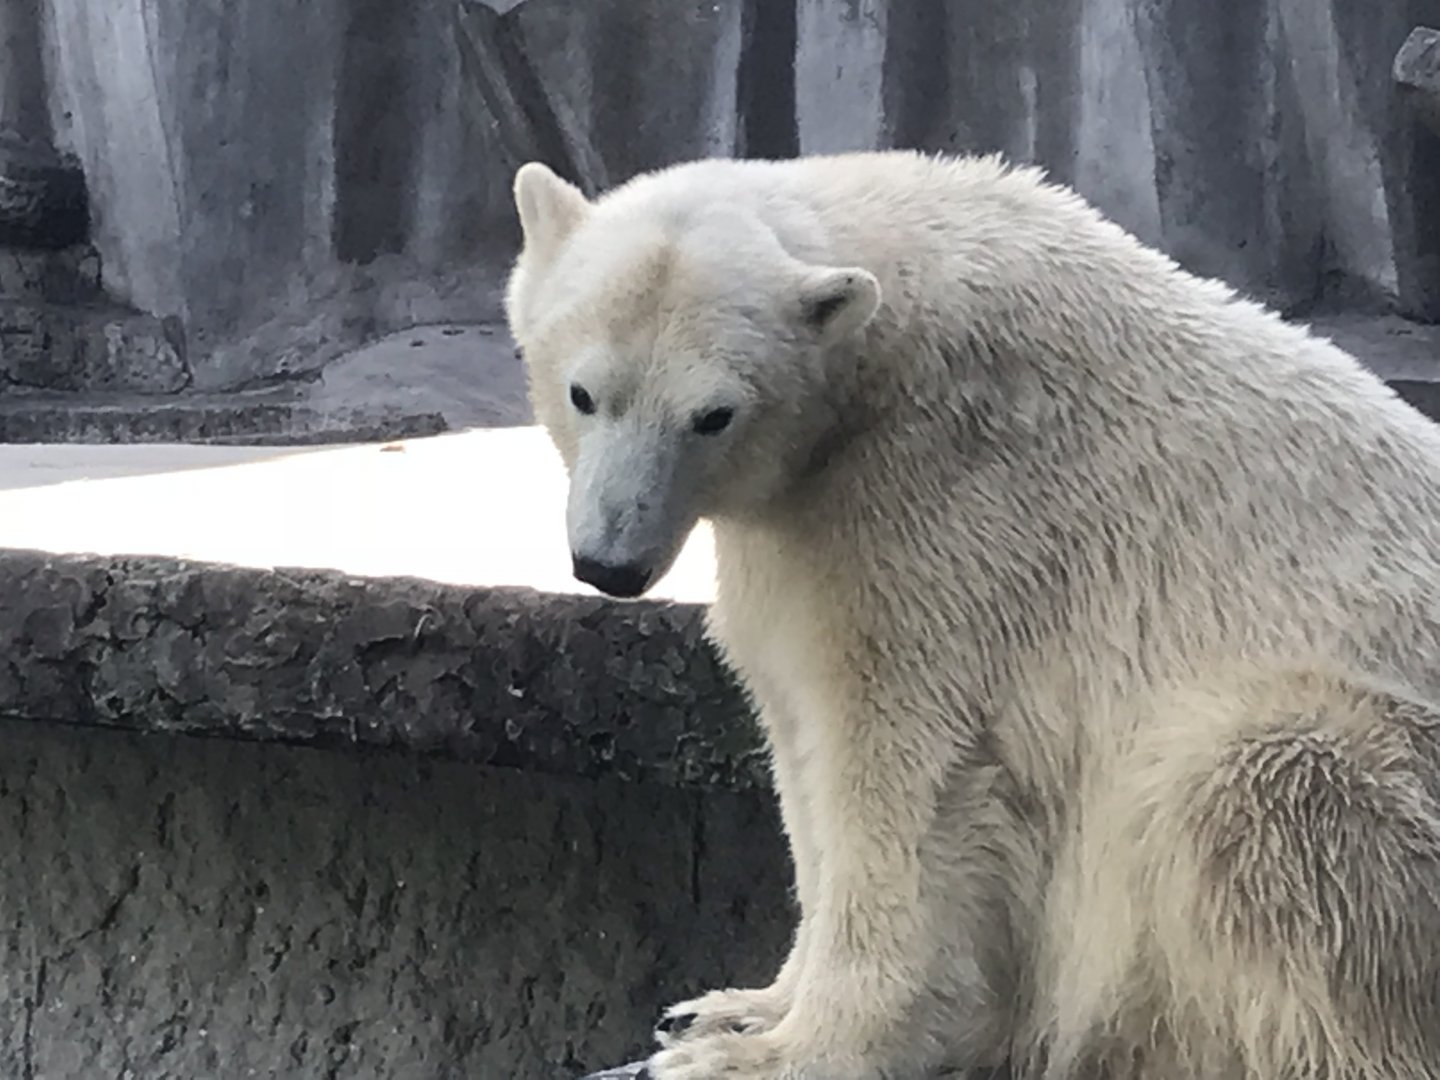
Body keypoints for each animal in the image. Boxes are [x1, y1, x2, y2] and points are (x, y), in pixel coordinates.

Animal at [503, 149, 1440, 1079]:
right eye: (584, 393)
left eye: (713, 415)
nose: (610, 565)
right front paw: (728, 1010)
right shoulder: (807, 532)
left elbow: (901, 769)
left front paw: (770, 1054)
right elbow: (800, 731)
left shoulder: (943, 516)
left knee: (1259, 780)